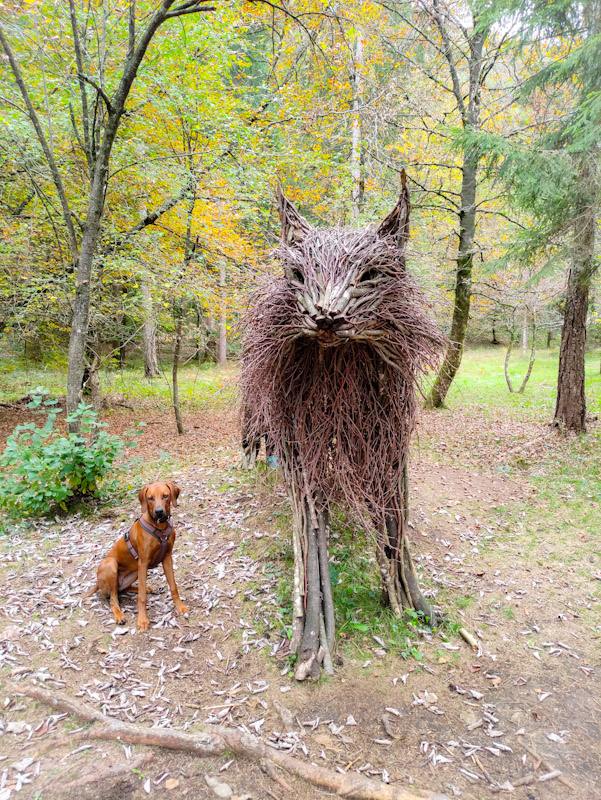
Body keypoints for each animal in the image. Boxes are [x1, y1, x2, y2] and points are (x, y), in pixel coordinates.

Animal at [83, 482, 189, 632]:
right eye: (150, 498)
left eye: (165, 496)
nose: (159, 511)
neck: (160, 527)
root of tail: (97, 583)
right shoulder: (143, 562)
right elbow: (141, 596)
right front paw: (143, 620)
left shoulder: (167, 558)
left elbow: (173, 586)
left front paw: (180, 607)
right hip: (111, 564)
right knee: (113, 597)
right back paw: (119, 615)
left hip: (133, 573)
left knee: (123, 589)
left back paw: (148, 588)